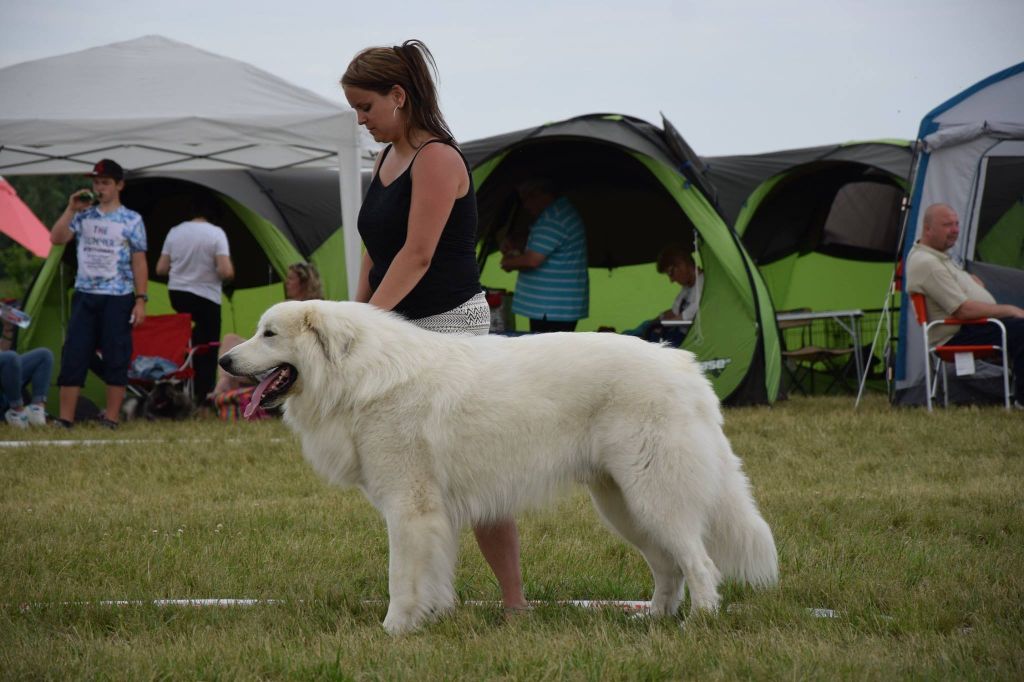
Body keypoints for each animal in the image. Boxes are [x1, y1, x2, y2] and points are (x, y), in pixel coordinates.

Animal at [222, 301, 774, 630]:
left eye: (268, 334)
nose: (224, 361)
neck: (355, 377)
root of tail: (683, 365)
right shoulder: (432, 517)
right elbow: (433, 574)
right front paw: (432, 618)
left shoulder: (409, 508)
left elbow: (401, 577)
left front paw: (394, 629)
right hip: (623, 504)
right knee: (667, 566)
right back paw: (653, 618)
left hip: (654, 496)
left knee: (698, 563)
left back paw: (697, 623)